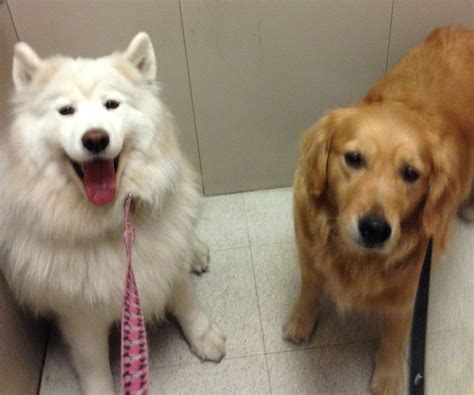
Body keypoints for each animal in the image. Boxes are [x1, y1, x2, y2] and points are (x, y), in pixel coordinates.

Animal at [0, 33, 226, 392]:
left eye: (111, 104)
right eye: (66, 111)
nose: (95, 138)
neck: (113, 225)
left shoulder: (166, 260)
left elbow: (189, 305)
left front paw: (205, 339)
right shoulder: (79, 316)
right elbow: (93, 366)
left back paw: (197, 253)